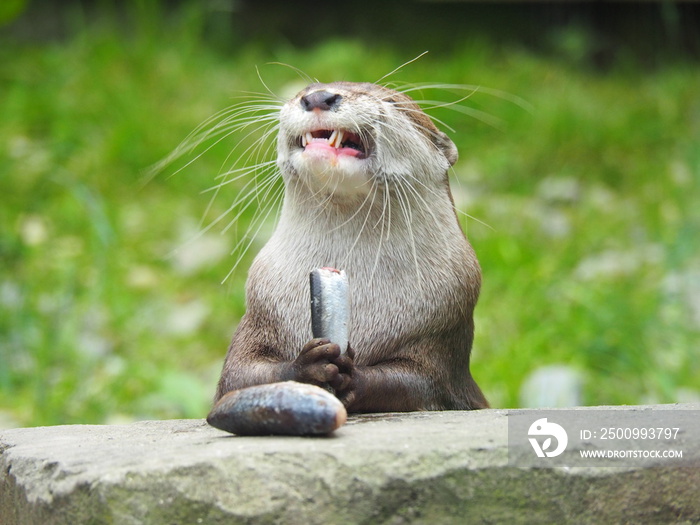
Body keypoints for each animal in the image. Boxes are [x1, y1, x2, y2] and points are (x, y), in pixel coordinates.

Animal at [213, 81, 486, 410]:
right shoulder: (259, 317)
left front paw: (352, 374)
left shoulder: (442, 337)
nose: (318, 97)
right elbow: (239, 375)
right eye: (306, 88)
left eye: (391, 101)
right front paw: (307, 367)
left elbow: (417, 382)